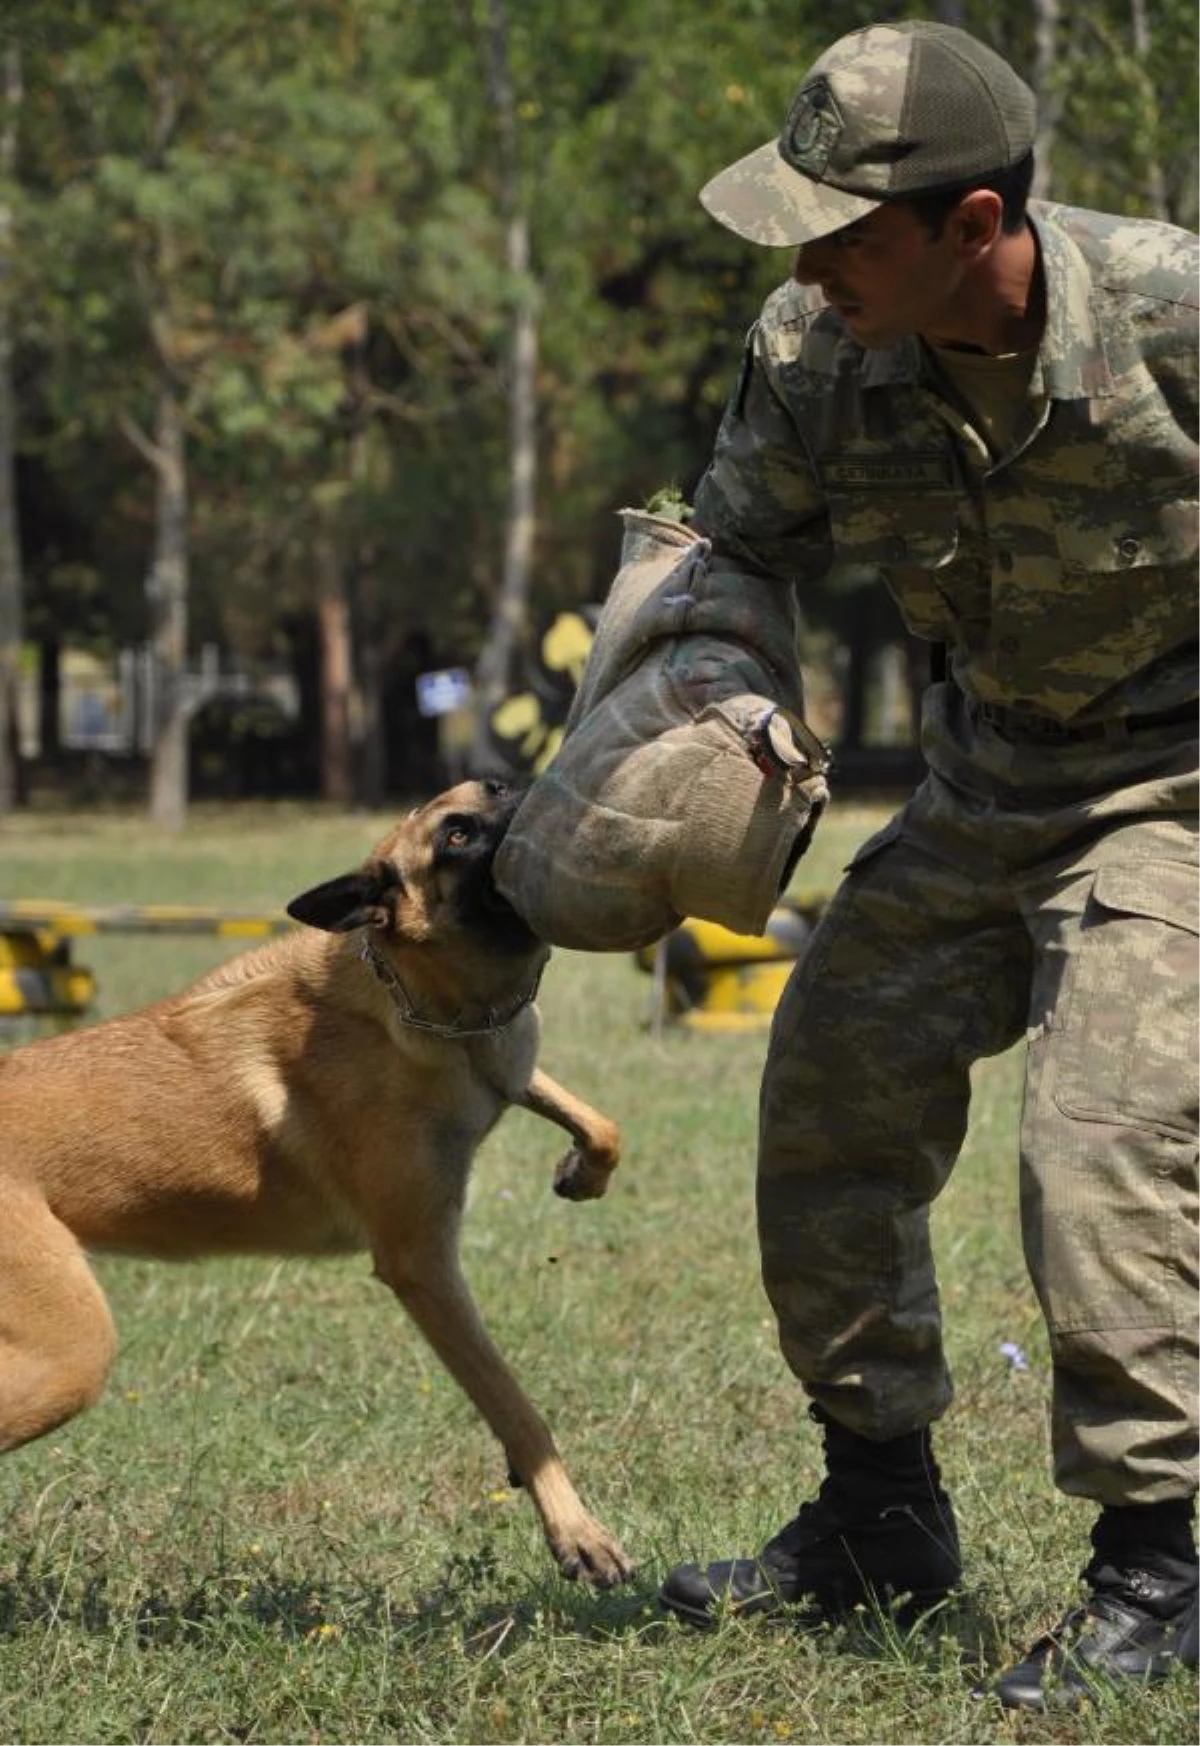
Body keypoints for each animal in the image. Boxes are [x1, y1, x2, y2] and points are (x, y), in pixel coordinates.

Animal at [0, 785, 639, 1592]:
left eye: (492, 792)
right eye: (456, 836)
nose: (527, 787)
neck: (416, 996)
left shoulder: (507, 1066)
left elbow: (597, 1122)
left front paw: (583, 1170)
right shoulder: (422, 1264)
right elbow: (514, 1403)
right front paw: (578, 1534)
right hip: (70, 1351)